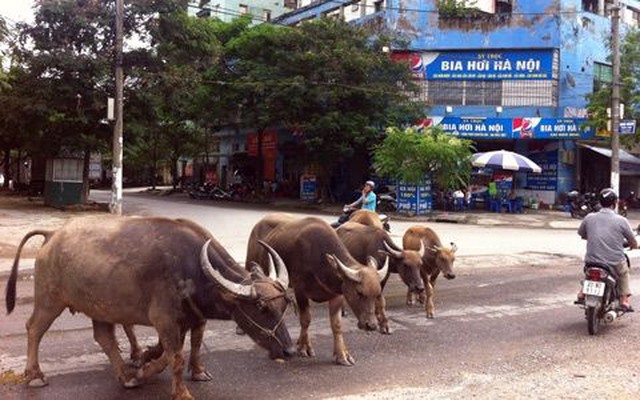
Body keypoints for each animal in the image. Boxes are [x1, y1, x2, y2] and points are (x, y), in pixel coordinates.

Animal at [5, 217, 294, 398]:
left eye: (284, 303)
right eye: (260, 307)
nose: (289, 351)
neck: (192, 267)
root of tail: (52, 236)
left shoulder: (194, 318)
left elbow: (193, 346)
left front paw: (195, 371)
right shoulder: (164, 319)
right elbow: (174, 355)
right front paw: (174, 388)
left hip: (100, 307)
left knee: (104, 337)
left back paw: (125, 375)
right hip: (49, 300)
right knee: (34, 329)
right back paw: (35, 375)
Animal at [245, 216, 388, 366]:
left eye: (377, 294)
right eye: (359, 292)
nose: (371, 325)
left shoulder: (337, 295)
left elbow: (336, 325)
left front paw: (342, 354)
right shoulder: (300, 290)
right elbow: (305, 319)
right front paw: (304, 348)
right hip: (251, 262)